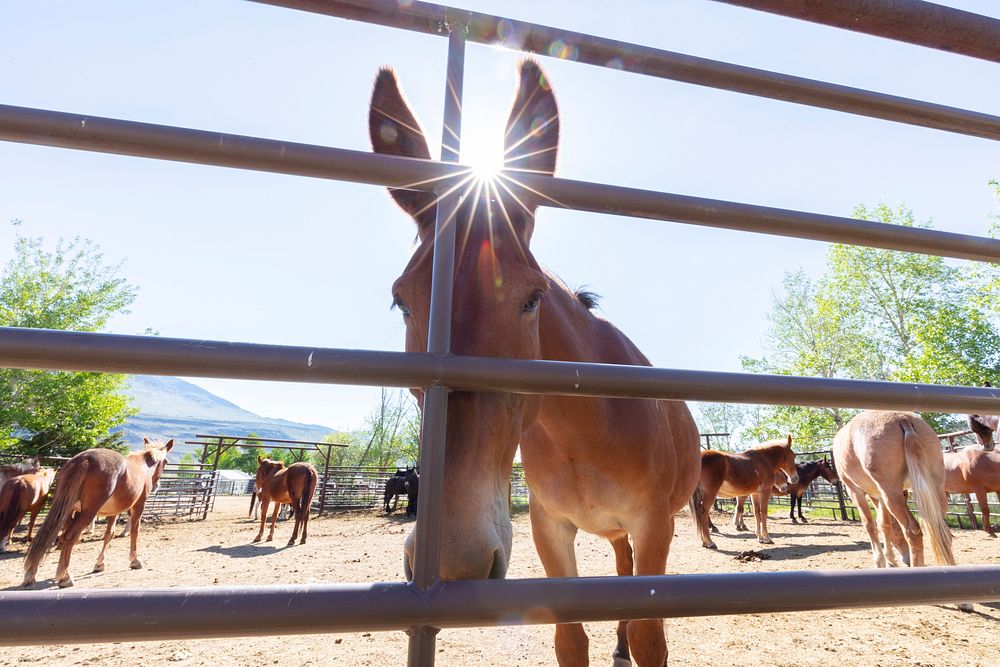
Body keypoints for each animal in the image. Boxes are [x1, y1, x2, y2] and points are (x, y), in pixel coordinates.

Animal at [22, 438, 174, 588]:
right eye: (166, 462)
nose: (156, 486)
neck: (143, 466)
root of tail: (85, 458)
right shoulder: (138, 506)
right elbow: (134, 532)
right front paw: (134, 560)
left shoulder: (113, 511)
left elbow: (109, 535)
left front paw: (100, 564)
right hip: (88, 512)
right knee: (69, 536)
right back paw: (64, 577)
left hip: (66, 509)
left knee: (51, 535)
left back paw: (31, 575)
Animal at [370, 60, 704, 664]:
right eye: (401, 300)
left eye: (531, 298)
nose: (455, 559)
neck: (584, 432)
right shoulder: (550, 528)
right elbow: (569, 638)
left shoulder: (653, 526)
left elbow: (652, 635)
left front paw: (636, 642)